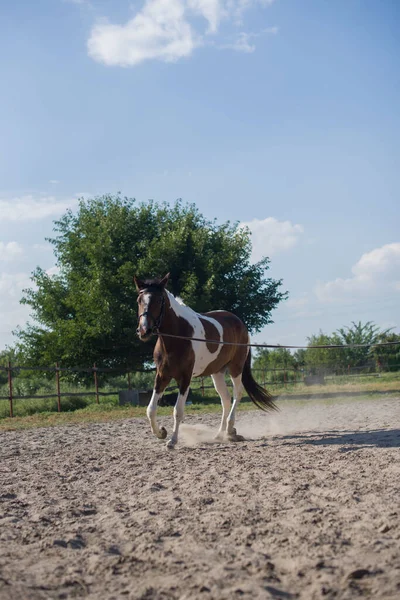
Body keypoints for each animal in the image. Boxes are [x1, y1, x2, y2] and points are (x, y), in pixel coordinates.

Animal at [134, 274, 278, 448]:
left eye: (158, 300)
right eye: (139, 300)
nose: (144, 331)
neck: (177, 337)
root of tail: (240, 323)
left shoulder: (185, 377)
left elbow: (178, 411)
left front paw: (172, 441)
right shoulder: (162, 376)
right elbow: (151, 409)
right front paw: (161, 432)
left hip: (236, 368)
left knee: (237, 393)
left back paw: (230, 430)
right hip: (217, 372)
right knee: (226, 399)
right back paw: (220, 434)